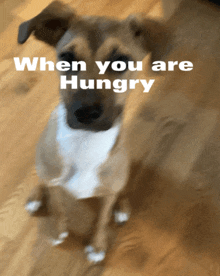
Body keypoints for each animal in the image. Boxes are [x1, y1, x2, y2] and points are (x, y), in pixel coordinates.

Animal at [17, 0, 170, 264]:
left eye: (121, 61)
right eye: (67, 58)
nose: (86, 113)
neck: (84, 142)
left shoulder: (108, 193)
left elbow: (101, 219)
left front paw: (97, 245)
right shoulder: (55, 184)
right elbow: (58, 208)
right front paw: (58, 230)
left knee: (119, 192)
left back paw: (122, 206)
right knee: (43, 180)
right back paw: (37, 196)